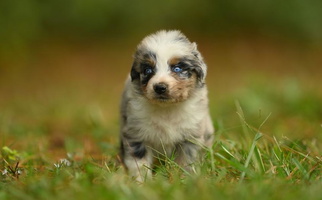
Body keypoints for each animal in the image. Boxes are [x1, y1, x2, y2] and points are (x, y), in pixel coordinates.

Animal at [118, 30, 214, 182]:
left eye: (177, 68)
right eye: (148, 70)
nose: (160, 87)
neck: (167, 109)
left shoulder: (190, 136)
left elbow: (186, 162)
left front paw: (185, 179)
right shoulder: (135, 134)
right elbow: (139, 162)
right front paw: (142, 182)